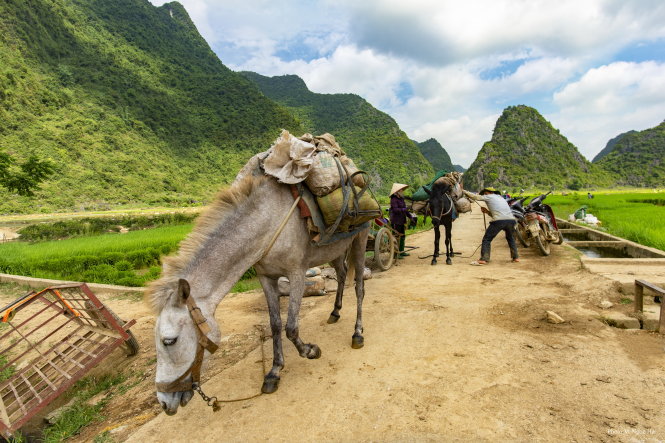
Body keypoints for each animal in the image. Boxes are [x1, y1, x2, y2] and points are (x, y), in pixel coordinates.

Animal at [148, 174, 368, 416]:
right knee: (342, 274)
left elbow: (291, 327)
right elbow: (275, 325)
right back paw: (335, 312)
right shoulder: (266, 278)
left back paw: (357, 333)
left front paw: (310, 350)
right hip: (336, 250)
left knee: (359, 287)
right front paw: (274, 372)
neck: (268, 222)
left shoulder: (297, 273)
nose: (164, 402)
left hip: (360, 239)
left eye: (169, 341)